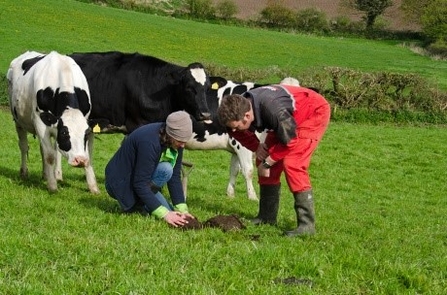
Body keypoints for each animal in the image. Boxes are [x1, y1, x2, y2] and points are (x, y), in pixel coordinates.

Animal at [7, 51, 98, 194]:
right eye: (65, 133)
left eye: (86, 134)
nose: (80, 160)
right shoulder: (40, 122)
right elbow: (50, 155)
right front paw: (52, 186)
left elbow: (87, 153)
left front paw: (93, 187)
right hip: (18, 120)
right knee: (24, 146)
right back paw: (24, 172)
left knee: (43, 149)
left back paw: (47, 174)